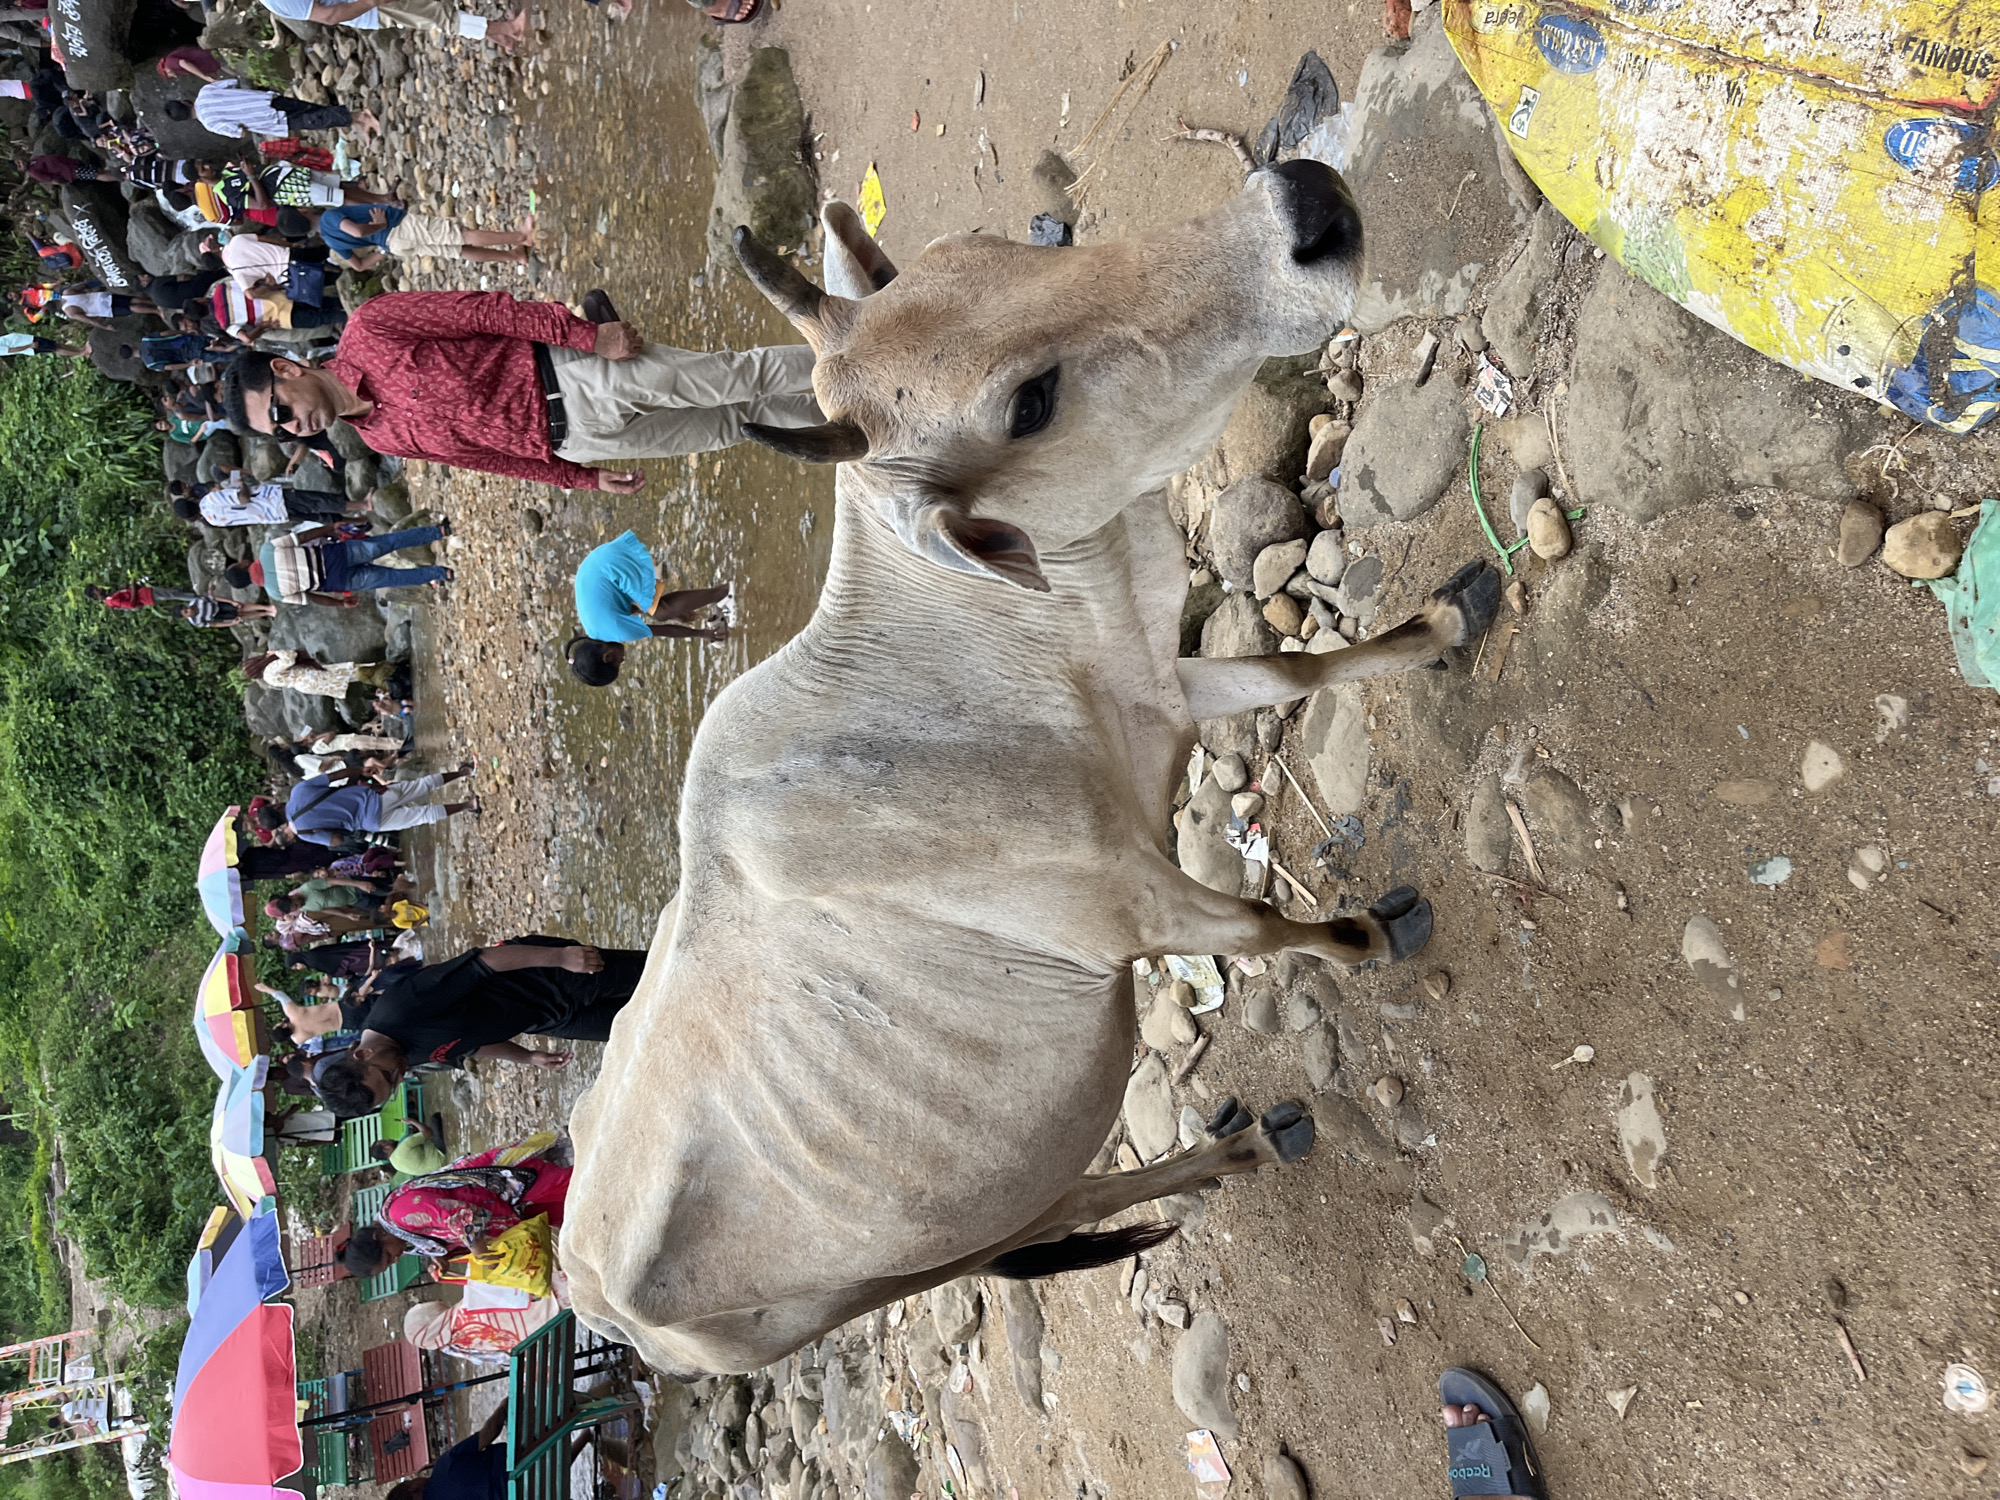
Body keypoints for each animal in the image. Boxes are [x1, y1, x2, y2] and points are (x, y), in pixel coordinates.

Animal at [561, 160, 1500, 1378]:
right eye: (1029, 404)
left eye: (1001, 249)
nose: (1305, 204)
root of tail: (586, 1293)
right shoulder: (1133, 904)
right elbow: (1266, 928)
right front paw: (1372, 937)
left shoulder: (1163, 693)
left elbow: (1298, 669)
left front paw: (1441, 625)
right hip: (931, 1258)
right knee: (1072, 1208)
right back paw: (1236, 1156)